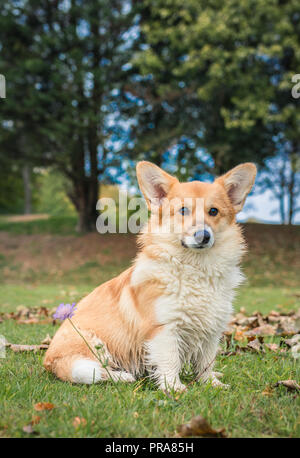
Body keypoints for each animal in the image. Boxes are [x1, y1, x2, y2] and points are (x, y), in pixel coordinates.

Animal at [43, 160, 256, 390]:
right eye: (183, 210)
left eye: (214, 211)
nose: (203, 236)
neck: (196, 267)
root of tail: (48, 361)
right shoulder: (163, 330)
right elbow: (170, 361)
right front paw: (174, 388)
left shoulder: (211, 331)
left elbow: (206, 362)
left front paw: (211, 384)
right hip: (93, 346)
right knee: (95, 371)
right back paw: (123, 376)